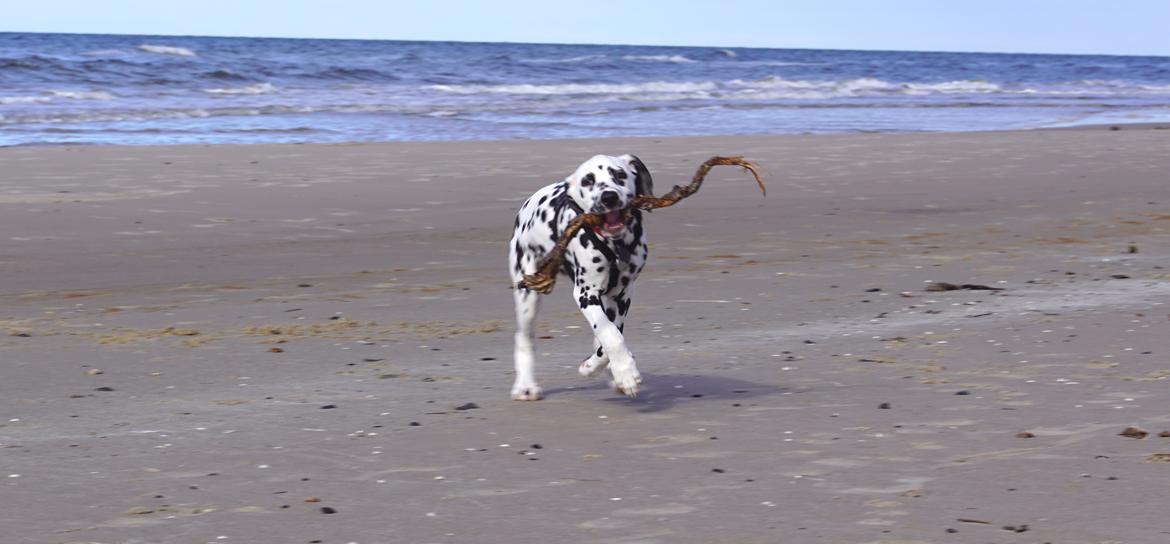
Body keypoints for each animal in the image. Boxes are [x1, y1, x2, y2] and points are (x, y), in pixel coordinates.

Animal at [507, 152, 655, 397]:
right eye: (588, 181)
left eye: (620, 175)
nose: (609, 197)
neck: (615, 247)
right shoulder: (586, 294)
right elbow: (609, 333)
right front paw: (625, 372)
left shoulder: (622, 295)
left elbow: (610, 334)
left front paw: (602, 367)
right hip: (528, 296)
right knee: (523, 337)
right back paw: (525, 386)